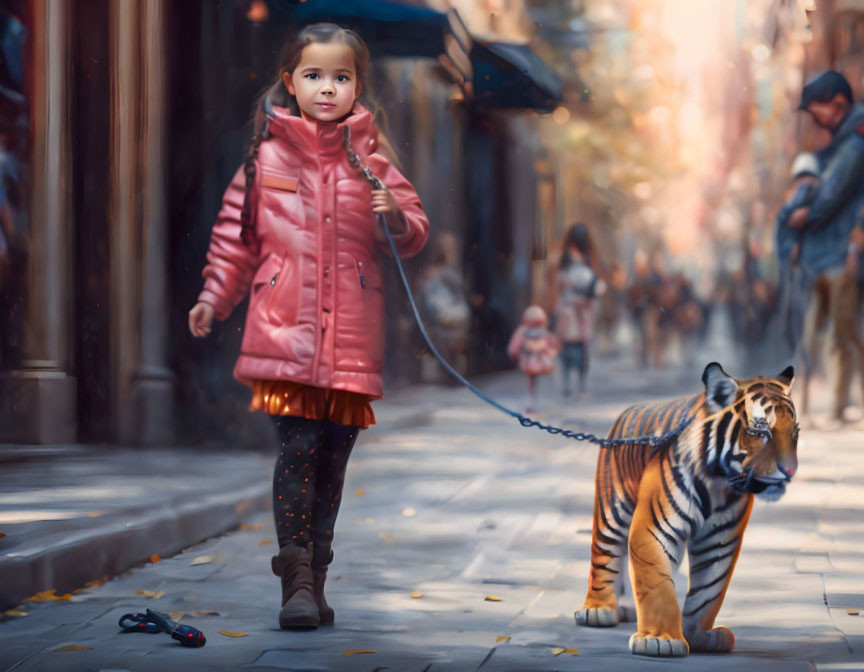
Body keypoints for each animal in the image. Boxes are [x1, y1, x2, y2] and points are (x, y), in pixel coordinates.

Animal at [576, 362, 800, 656]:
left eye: (795, 432)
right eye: (760, 431)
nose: (790, 471)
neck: (718, 481)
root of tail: (625, 411)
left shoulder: (718, 541)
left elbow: (708, 592)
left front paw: (698, 635)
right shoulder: (654, 528)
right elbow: (657, 584)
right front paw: (659, 640)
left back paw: (624, 607)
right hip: (612, 510)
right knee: (605, 555)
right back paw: (598, 610)